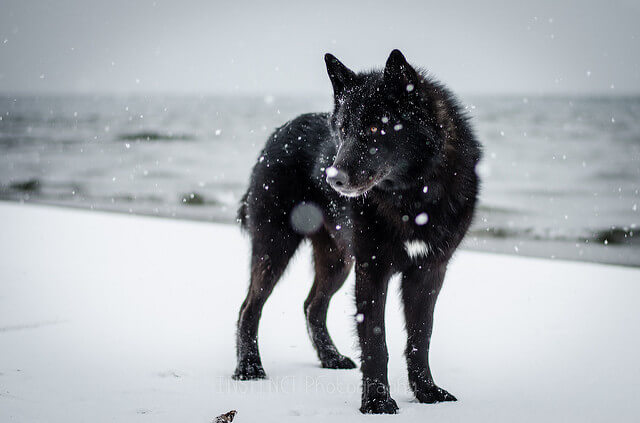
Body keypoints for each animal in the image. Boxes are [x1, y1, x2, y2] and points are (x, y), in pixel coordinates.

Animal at [234, 48, 480, 414]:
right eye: (343, 129)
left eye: (377, 127)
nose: (332, 178)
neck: (412, 197)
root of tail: (278, 133)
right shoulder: (372, 271)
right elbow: (377, 343)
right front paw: (377, 402)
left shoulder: (428, 272)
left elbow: (421, 338)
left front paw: (427, 393)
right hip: (275, 248)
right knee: (249, 307)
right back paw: (249, 368)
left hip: (338, 262)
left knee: (312, 305)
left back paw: (331, 358)